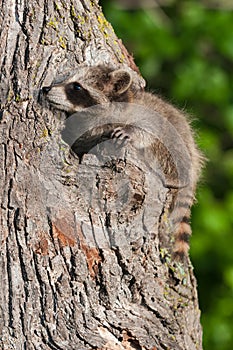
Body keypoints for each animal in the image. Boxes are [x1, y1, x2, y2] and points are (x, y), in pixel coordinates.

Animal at [41, 64, 204, 258]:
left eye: (76, 87)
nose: (45, 89)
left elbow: (149, 127)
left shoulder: (143, 113)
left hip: (176, 150)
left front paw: (130, 132)